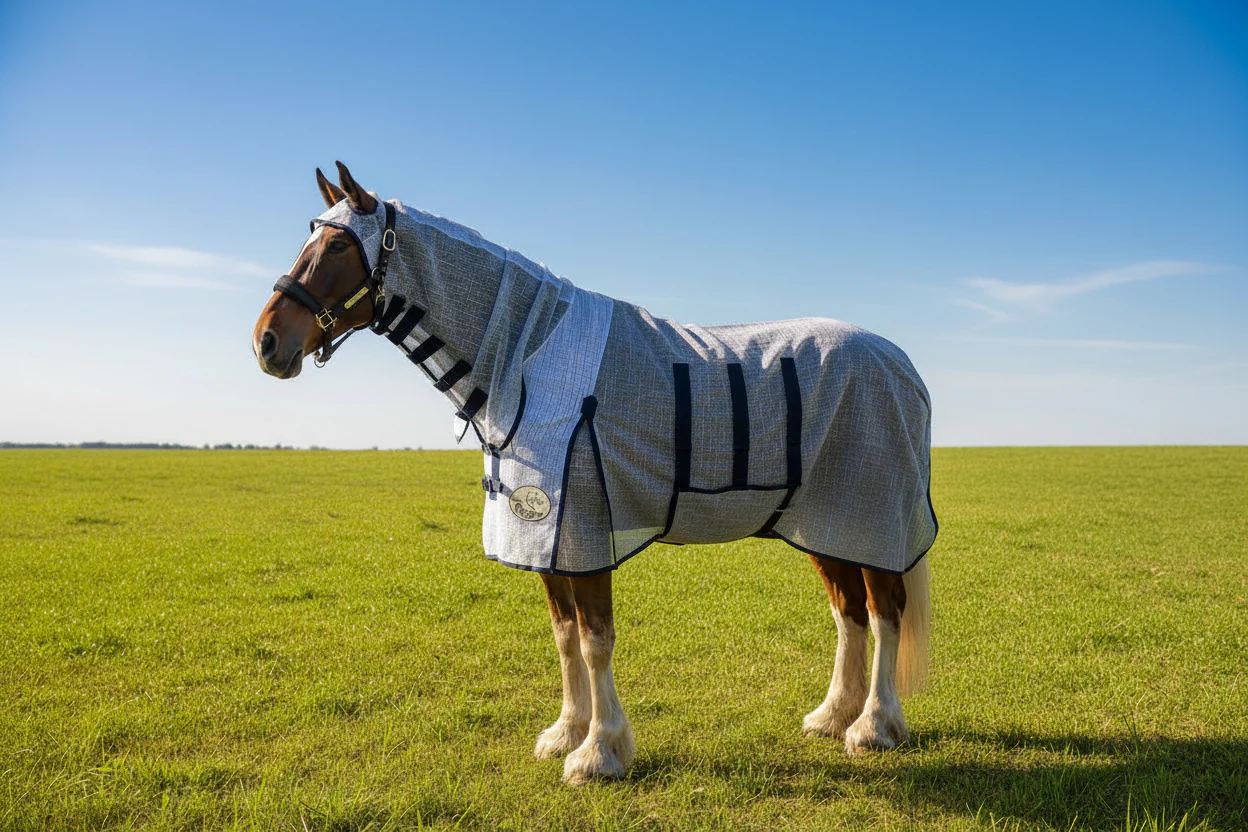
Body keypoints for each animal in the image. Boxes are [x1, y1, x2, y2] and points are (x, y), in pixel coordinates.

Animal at [252, 162, 936, 785]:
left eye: (339, 246)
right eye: (311, 238)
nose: (266, 341)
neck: (526, 358)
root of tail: (900, 365)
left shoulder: (581, 537)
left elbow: (593, 640)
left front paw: (598, 752)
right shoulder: (545, 542)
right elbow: (563, 638)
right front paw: (567, 732)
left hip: (868, 517)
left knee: (885, 610)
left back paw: (874, 726)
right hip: (825, 525)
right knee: (849, 611)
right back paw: (833, 716)